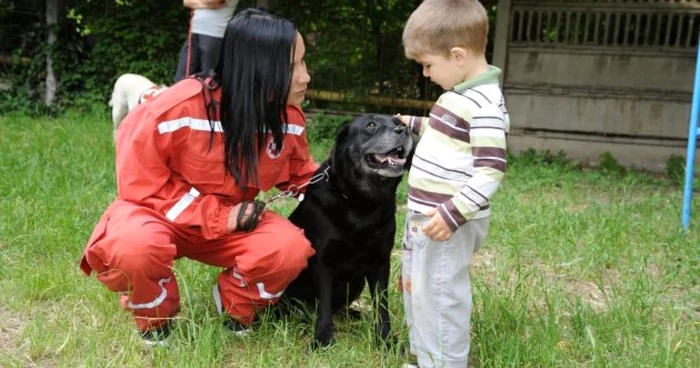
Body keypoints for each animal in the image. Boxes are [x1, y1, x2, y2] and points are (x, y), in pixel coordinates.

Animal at [284, 114, 412, 348]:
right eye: (371, 125)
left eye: (398, 122)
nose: (404, 129)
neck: (360, 203)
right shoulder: (322, 261)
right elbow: (324, 307)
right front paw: (323, 340)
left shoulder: (380, 261)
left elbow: (381, 306)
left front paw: (386, 339)